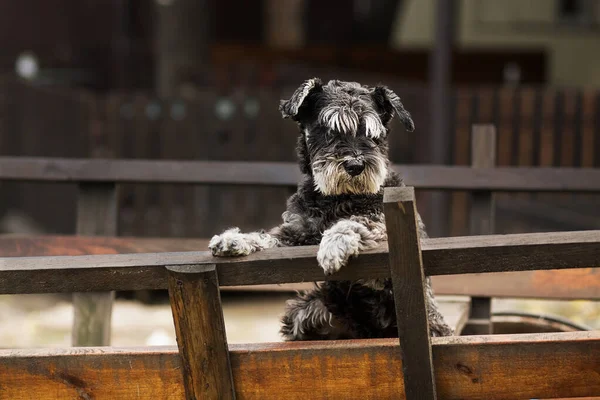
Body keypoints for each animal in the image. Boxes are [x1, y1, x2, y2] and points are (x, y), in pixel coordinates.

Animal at [209, 79, 452, 340]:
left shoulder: (385, 249)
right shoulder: (295, 235)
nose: (355, 166)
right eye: (329, 130)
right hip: (305, 313)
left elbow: (358, 221)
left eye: (372, 134)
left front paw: (335, 244)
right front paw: (233, 239)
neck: (338, 198)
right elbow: (267, 237)